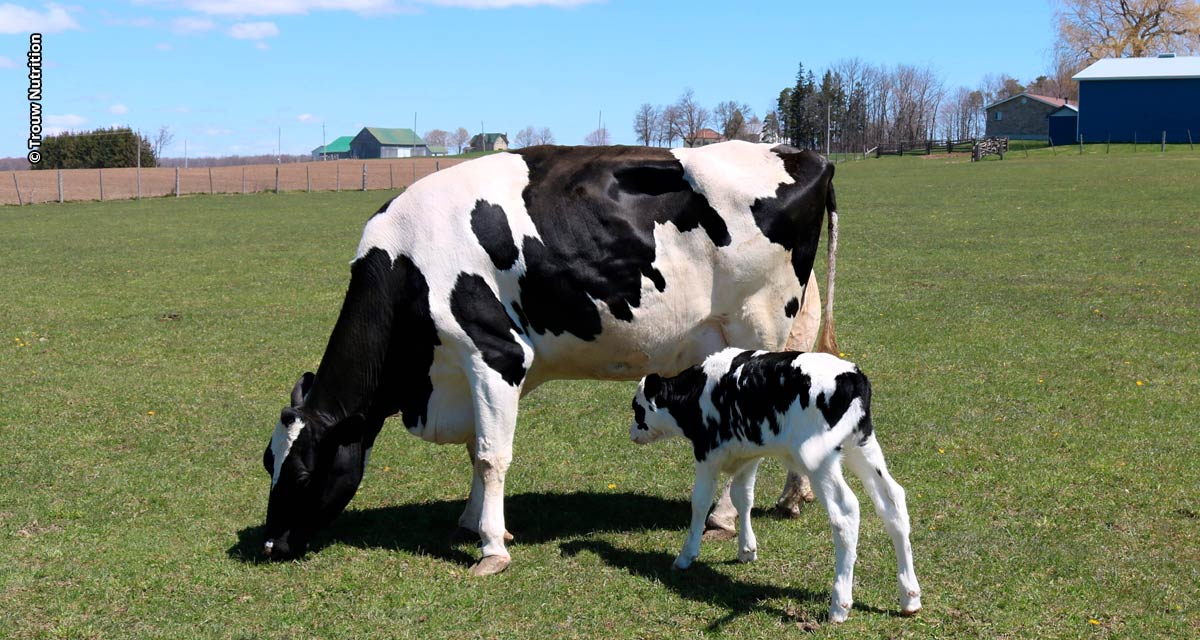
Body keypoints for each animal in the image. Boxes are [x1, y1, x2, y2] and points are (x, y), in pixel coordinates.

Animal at [261, 139, 840, 573]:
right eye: (269, 461)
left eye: (303, 474)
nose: (270, 545)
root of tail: (802, 153)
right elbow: (476, 449)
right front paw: (473, 521)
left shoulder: (496, 353)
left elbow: (491, 455)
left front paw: (491, 547)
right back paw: (793, 498)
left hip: (757, 324)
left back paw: (721, 519)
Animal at [628, 345, 916, 619]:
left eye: (637, 408)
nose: (631, 433)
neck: (700, 389)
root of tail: (852, 376)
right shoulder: (748, 456)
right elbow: (742, 498)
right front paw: (747, 550)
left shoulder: (705, 454)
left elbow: (700, 502)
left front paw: (686, 556)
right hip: (862, 445)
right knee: (892, 500)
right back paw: (910, 597)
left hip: (820, 461)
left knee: (845, 511)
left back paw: (840, 606)